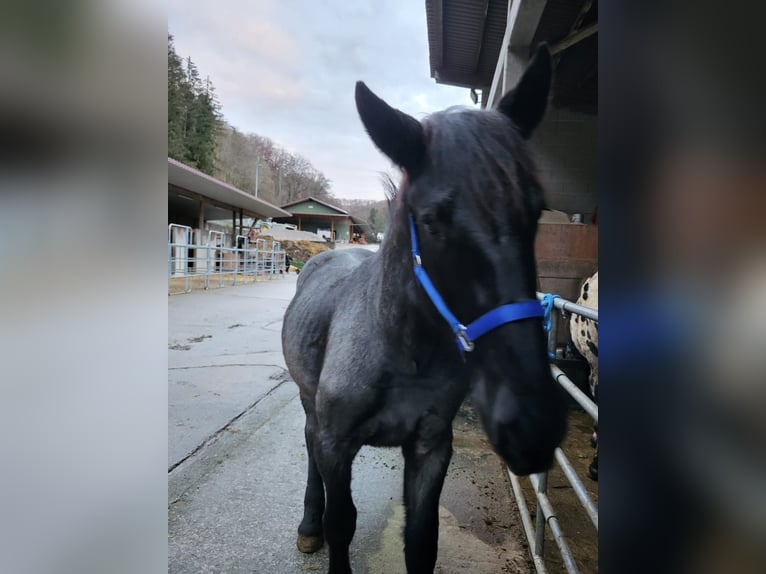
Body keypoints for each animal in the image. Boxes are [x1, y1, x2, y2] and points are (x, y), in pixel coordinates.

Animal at [282, 46, 568, 574]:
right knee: (310, 448)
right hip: (311, 407)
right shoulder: (337, 444)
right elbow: (341, 523)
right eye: (432, 220)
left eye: (536, 210)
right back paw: (309, 525)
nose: (533, 426)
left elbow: (421, 540)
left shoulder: (431, 446)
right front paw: (323, 528)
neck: (402, 350)